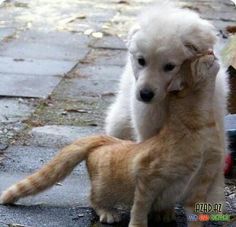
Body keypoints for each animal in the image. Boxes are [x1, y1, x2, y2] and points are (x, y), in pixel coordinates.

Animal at [0, 52, 221, 227]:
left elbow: (195, 213)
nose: (211, 52)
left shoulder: (201, 182)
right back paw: (108, 212)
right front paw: (138, 224)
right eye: (197, 58)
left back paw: (164, 212)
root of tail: (105, 139)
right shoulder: (147, 177)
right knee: (93, 199)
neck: (202, 126)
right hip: (104, 188)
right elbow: (140, 207)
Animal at [105, 1, 229, 210]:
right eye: (141, 61)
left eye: (169, 66)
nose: (145, 94)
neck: (172, 99)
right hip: (120, 121)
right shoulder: (147, 127)